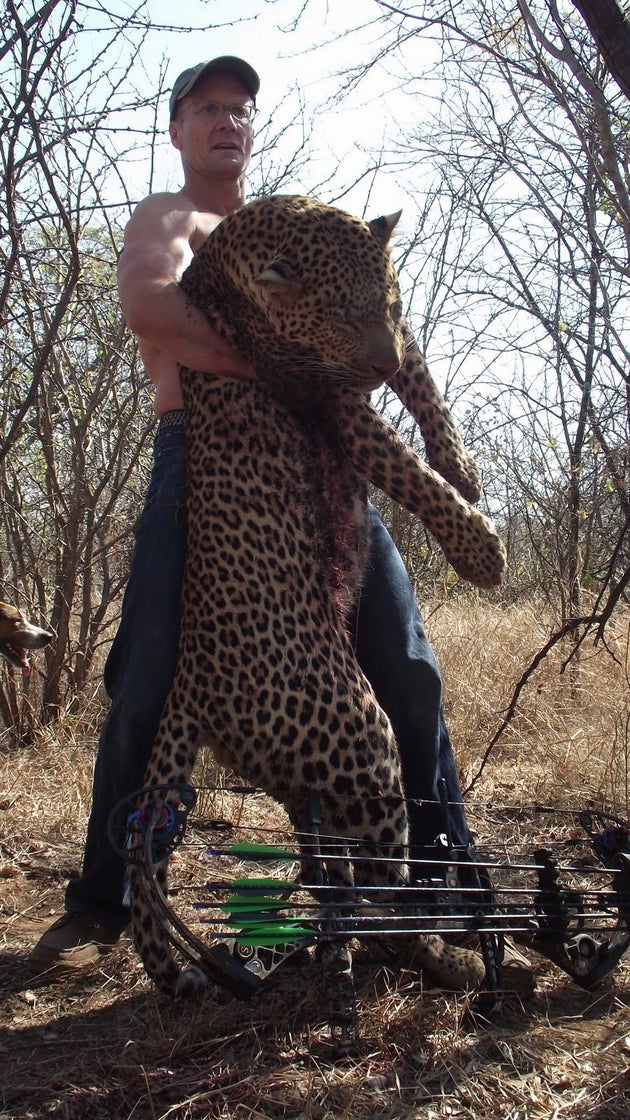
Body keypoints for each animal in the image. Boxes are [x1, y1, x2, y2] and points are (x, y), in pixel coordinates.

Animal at [129, 195, 506, 999]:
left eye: (386, 302)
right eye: (336, 312)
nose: (378, 363)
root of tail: (190, 680)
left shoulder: (384, 353)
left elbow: (423, 383)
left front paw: (461, 464)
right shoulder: (323, 392)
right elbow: (400, 465)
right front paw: (479, 549)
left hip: (312, 773)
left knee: (328, 865)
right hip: (361, 739)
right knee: (377, 884)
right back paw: (448, 951)